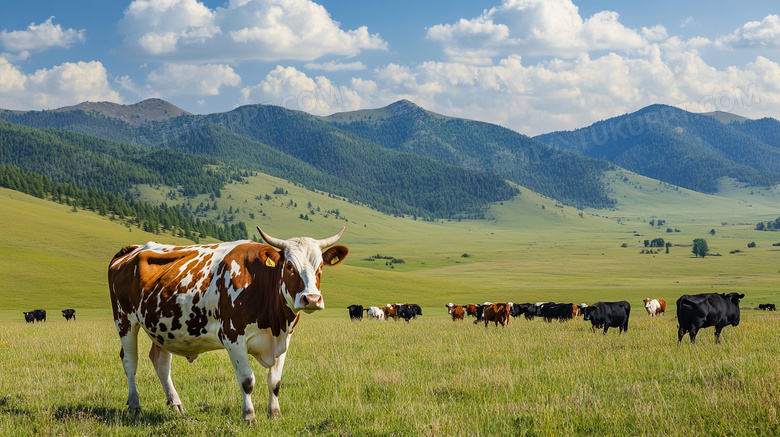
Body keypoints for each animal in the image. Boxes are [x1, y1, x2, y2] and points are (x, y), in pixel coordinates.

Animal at [106, 227, 348, 420]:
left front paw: (275, 414)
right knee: (130, 361)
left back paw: (176, 404)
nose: (312, 299)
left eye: (320, 267)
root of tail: (133, 248)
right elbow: (247, 380)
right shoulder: (234, 338)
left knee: (161, 362)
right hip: (124, 320)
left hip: (163, 327)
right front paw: (249, 416)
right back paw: (135, 404)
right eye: (289, 266)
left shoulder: (283, 339)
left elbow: (275, 382)